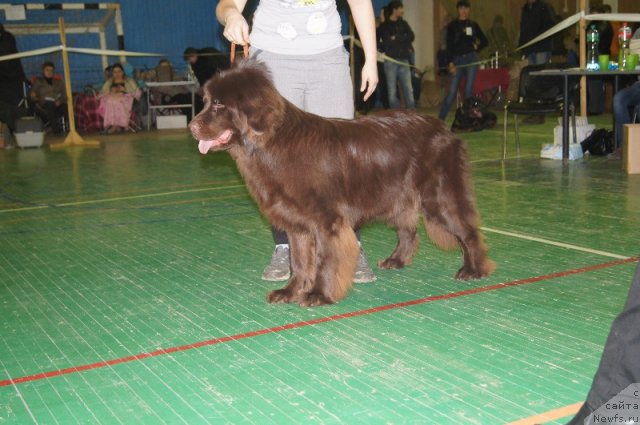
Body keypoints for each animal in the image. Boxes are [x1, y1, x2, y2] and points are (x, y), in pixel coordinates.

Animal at [190, 58, 496, 304]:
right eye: (205, 101)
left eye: (219, 104)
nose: (192, 126)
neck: (271, 142)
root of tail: (444, 129)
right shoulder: (297, 223)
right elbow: (299, 260)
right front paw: (290, 291)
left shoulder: (327, 220)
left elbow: (327, 260)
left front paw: (319, 295)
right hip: (396, 198)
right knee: (409, 231)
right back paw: (396, 260)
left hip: (439, 196)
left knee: (467, 230)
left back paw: (474, 269)